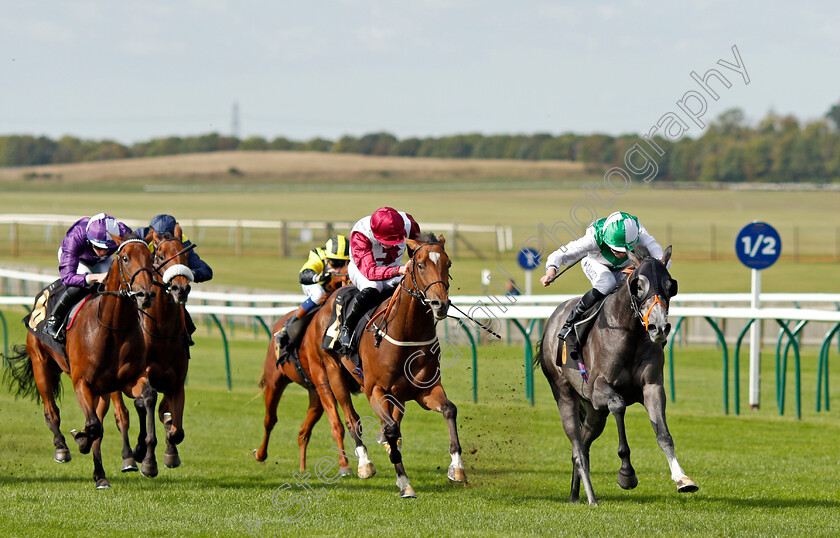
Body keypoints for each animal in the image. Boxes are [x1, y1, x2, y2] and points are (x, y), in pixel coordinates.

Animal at [3, 234, 159, 486]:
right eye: (125, 258)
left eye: (150, 257)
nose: (146, 294)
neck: (113, 329)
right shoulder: (82, 382)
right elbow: (93, 426)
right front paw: (81, 440)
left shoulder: (129, 379)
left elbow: (148, 398)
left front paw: (147, 460)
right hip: (41, 366)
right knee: (52, 411)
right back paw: (62, 448)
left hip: (101, 390)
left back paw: (101, 475)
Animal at [105, 228, 194, 472]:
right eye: (160, 256)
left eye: (186, 255)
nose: (181, 288)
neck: (162, 332)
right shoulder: (140, 376)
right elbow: (143, 407)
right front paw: (145, 456)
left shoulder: (177, 383)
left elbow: (175, 428)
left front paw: (170, 452)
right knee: (122, 415)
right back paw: (129, 455)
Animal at [251, 272, 352, 474]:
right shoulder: (326, 378)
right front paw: (345, 464)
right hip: (275, 382)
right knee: (270, 420)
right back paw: (261, 454)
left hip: (314, 394)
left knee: (303, 432)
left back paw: (303, 466)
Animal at [300, 232, 466, 496]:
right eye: (420, 265)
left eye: (447, 264)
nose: (440, 304)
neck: (407, 335)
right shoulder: (375, 389)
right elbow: (388, 428)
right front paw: (404, 483)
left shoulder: (425, 390)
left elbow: (449, 409)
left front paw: (457, 468)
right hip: (332, 372)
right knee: (351, 419)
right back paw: (364, 464)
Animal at [540, 245, 696, 504]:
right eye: (638, 285)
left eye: (669, 285)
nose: (659, 327)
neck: (630, 333)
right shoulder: (598, 389)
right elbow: (619, 404)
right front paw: (626, 474)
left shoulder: (652, 387)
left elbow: (664, 434)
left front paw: (682, 479)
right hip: (563, 393)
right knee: (577, 447)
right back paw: (592, 498)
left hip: (595, 414)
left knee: (583, 443)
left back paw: (574, 495)